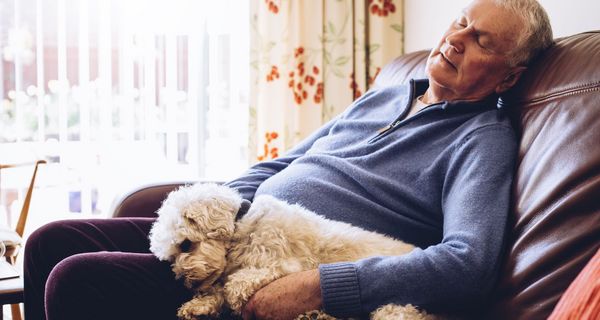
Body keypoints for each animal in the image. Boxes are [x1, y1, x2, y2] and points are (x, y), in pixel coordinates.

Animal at [147, 182, 434, 320]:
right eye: (170, 256)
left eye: (186, 244)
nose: (185, 282)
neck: (243, 227)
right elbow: (219, 287)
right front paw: (199, 305)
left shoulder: (283, 265)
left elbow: (234, 285)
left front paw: (232, 299)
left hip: (396, 309)